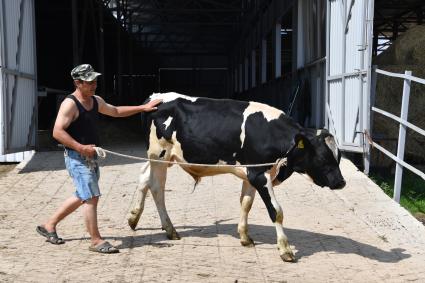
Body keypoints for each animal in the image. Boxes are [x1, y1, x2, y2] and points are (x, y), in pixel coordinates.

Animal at [128, 93, 344, 264]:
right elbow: (276, 211)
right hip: (159, 155)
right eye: (323, 157)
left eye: (339, 156)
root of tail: (156, 98)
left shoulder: (250, 175)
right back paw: (169, 229)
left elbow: (246, 204)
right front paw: (285, 249)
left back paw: (134, 218)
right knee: (157, 187)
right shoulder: (260, 175)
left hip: (162, 158)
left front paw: (245, 237)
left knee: (144, 177)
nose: (341, 182)